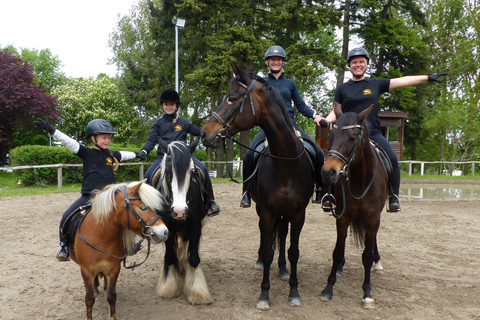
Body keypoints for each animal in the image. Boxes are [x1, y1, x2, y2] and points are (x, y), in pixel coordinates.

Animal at [67, 180, 169, 320]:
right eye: (143, 208)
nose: (164, 231)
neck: (100, 237)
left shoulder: (114, 269)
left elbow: (112, 296)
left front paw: (113, 316)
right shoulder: (86, 270)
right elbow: (89, 299)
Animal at [154, 136, 214, 304]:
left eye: (192, 172)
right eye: (168, 171)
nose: (179, 211)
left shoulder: (195, 226)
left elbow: (193, 258)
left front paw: (197, 291)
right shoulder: (167, 228)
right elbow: (170, 257)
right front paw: (168, 287)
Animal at [320, 102, 388, 308]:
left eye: (352, 138)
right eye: (330, 137)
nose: (328, 172)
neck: (360, 180)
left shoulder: (373, 219)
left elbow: (366, 256)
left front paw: (367, 294)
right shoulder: (343, 218)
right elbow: (336, 252)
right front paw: (328, 288)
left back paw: (377, 262)